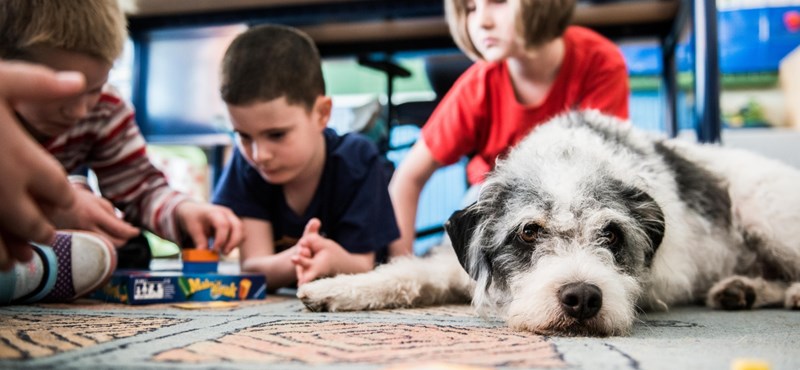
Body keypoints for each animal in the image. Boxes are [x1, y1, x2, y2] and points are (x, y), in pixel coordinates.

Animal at [296, 110, 800, 336]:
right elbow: (407, 273)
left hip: (766, 214)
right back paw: (743, 290)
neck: (568, 155)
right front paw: (333, 287)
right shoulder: (461, 264)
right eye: (529, 231)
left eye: (611, 234)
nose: (582, 298)